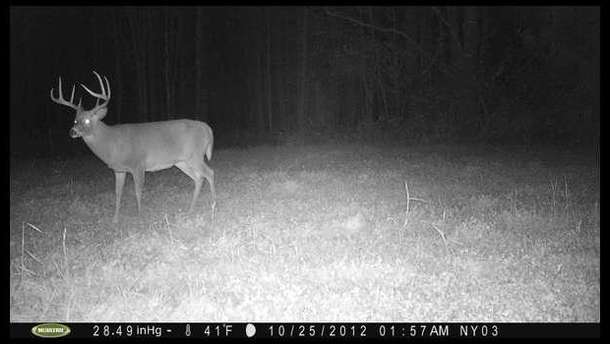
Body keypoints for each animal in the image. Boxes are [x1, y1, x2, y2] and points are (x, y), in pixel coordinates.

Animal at [51, 71, 215, 224]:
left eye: (86, 120)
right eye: (75, 120)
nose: (72, 132)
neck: (112, 144)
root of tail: (207, 128)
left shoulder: (138, 164)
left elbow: (138, 190)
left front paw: (140, 215)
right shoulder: (119, 170)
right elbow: (118, 192)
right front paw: (115, 219)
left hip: (195, 155)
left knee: (210, 173)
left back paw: (214, 203)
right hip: (182, 161)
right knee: (199, 178)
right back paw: (191, 209)